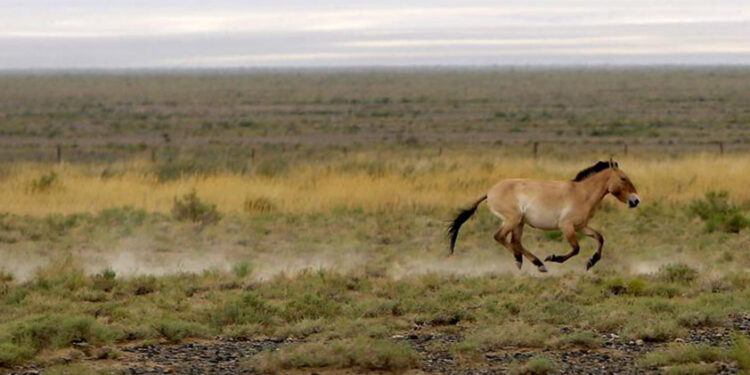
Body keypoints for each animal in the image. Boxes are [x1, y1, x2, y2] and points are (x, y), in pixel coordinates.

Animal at [450, 160, 644, 272]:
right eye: (623, 178)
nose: (636, 200)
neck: (582, 194)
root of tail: (490, 192)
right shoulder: (566, 226)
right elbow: (576, 248)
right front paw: (554, 258)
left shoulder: (581, 226)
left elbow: (600, 237)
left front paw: (591, 262)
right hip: (512, 220)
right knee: (500, 237)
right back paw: (531, 262)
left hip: (519, 222)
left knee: (515, 242)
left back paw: (528, 262)